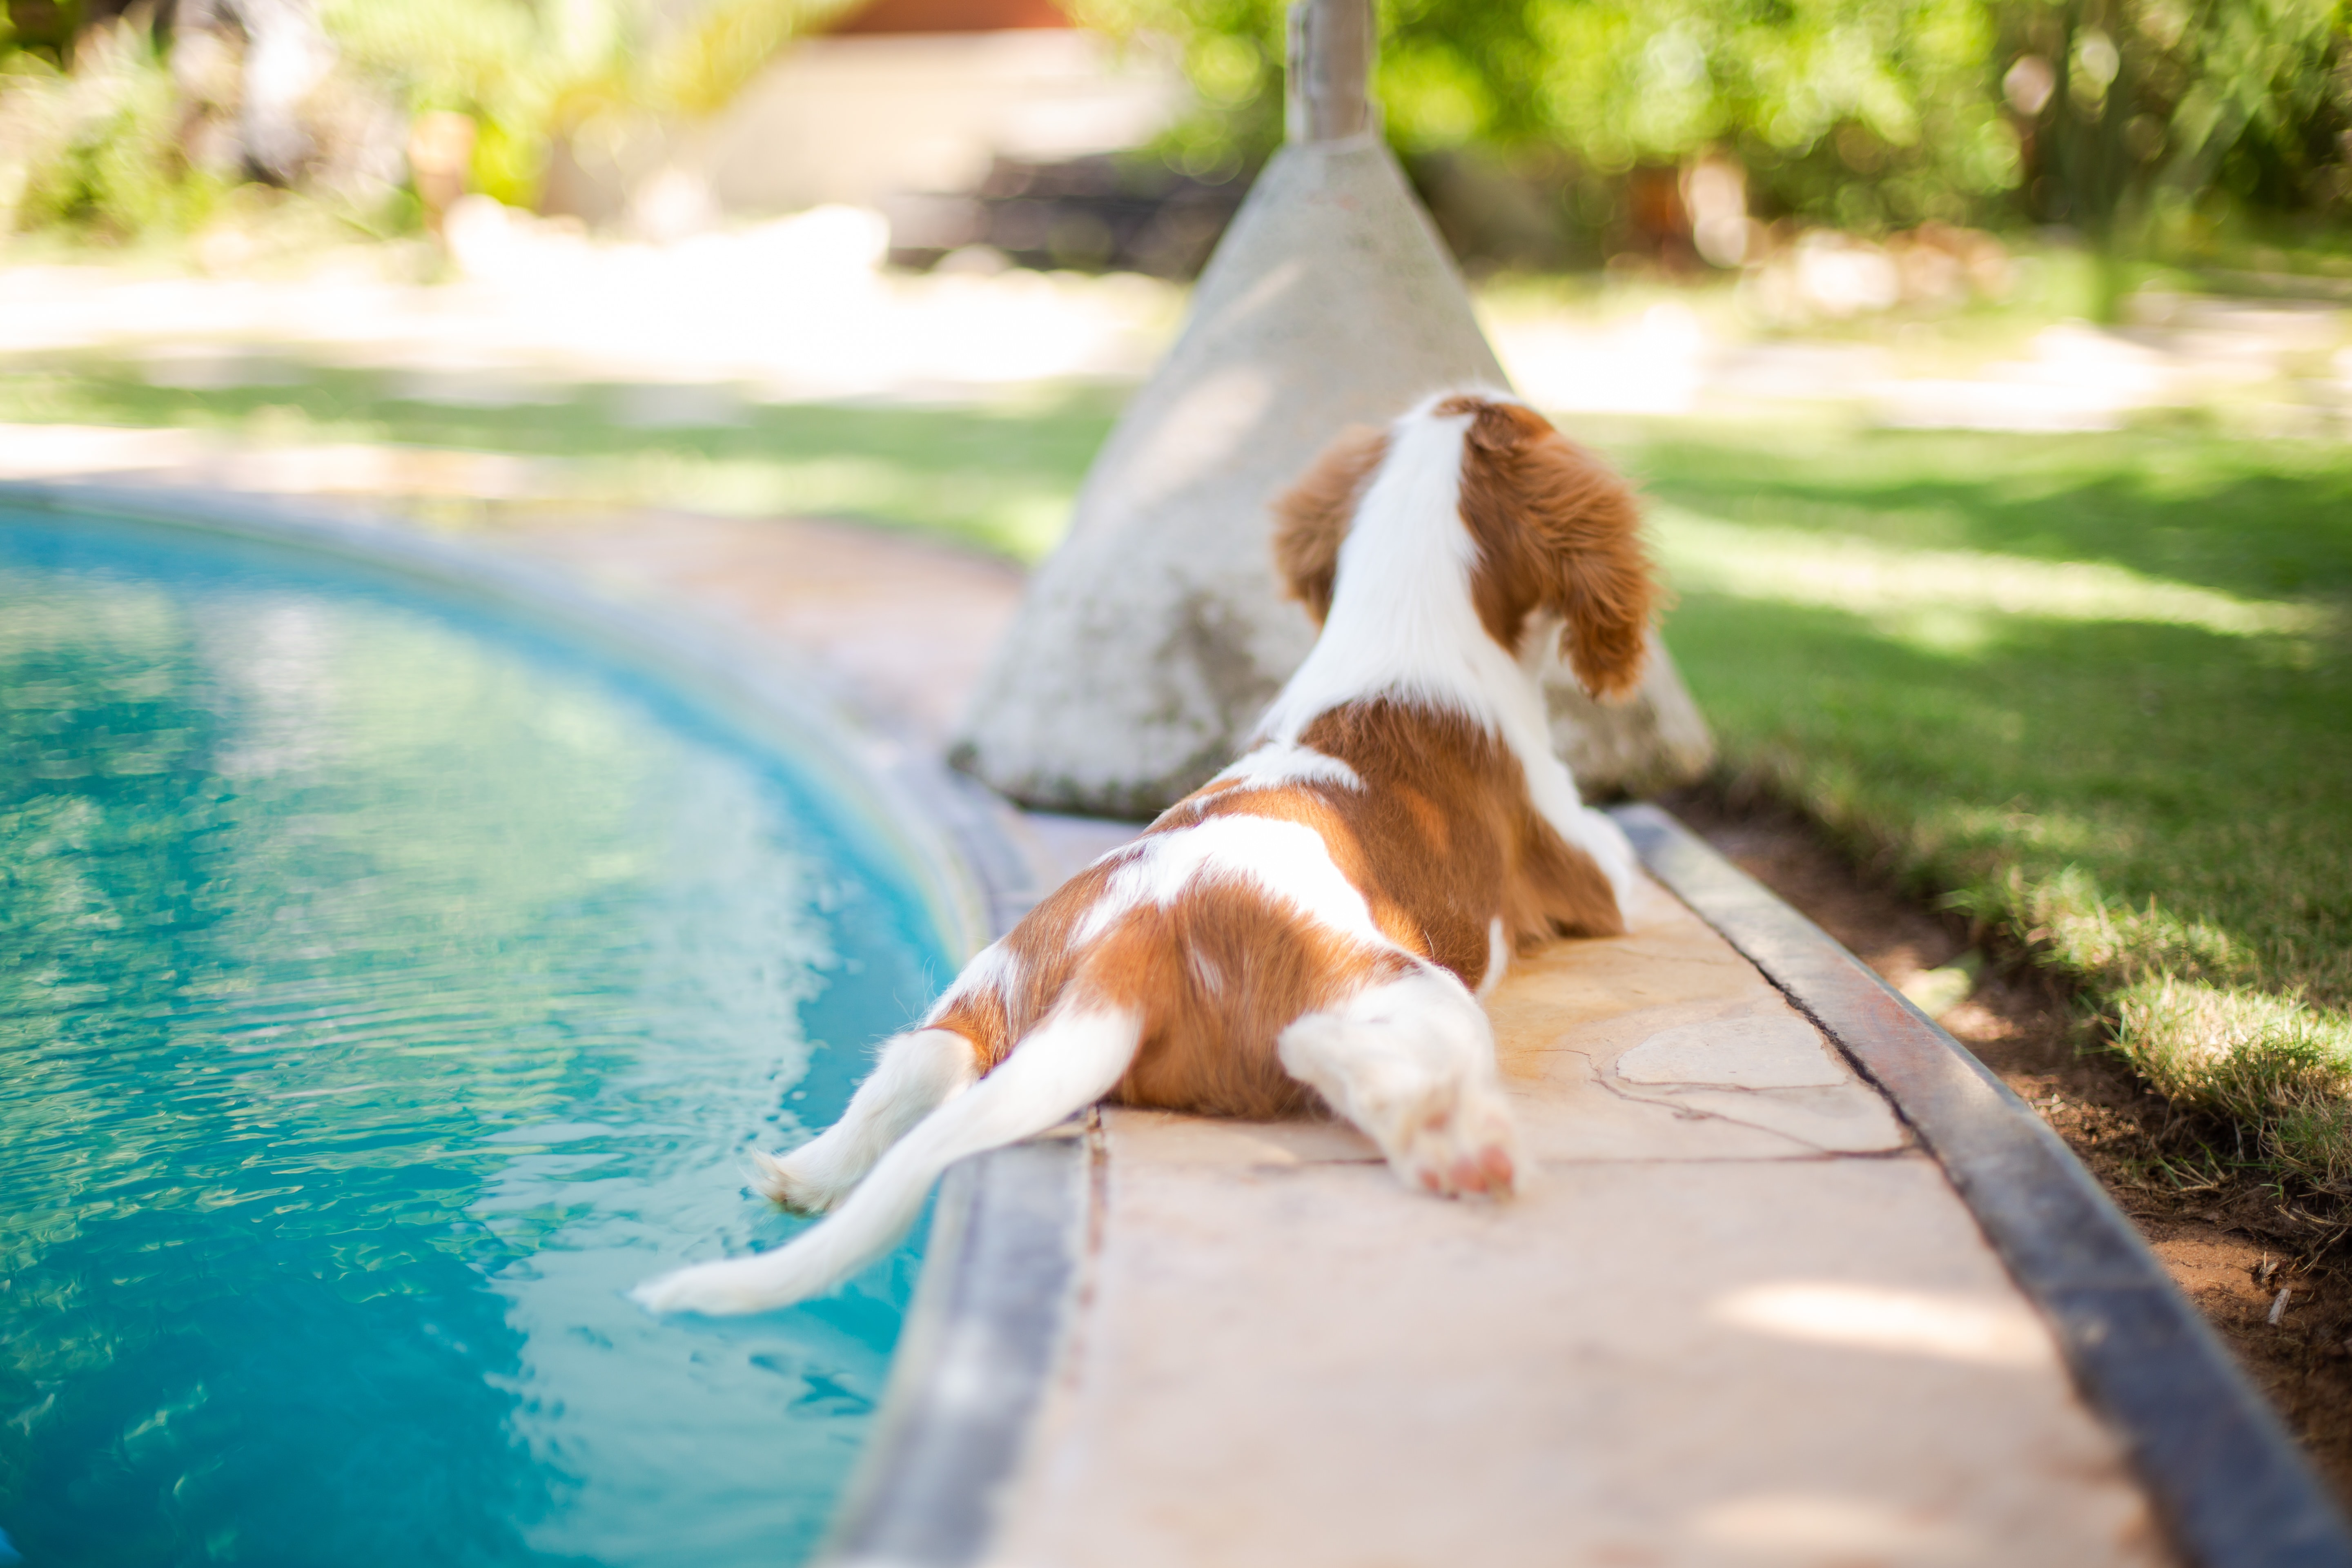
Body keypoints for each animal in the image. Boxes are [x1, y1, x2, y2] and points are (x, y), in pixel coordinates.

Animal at [630, 390, 1656, 1316]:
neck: (1398, 630)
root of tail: (1126, 951)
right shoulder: (1586, 865)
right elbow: (1618, 850)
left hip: (987, 988)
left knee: (916, 1066)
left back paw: (804, 1171)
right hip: (1401, 985)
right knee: (1340, 1054)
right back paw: (1457, 1147)